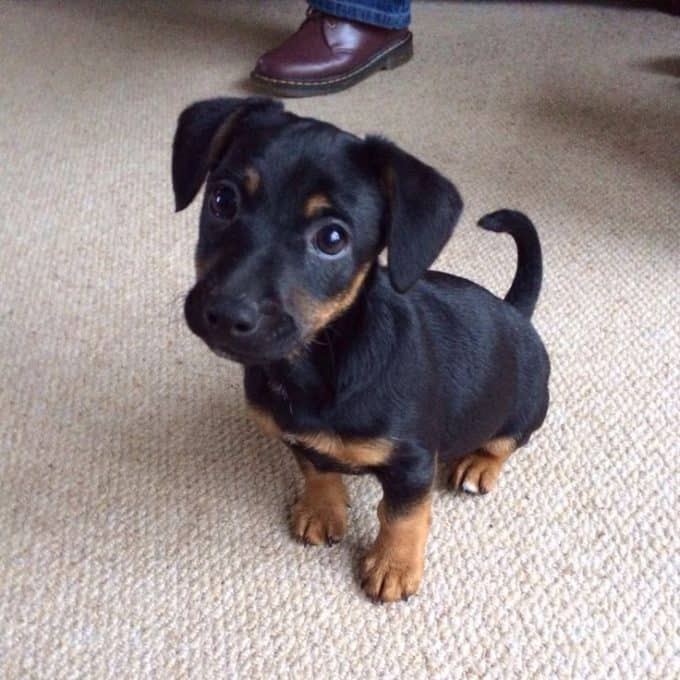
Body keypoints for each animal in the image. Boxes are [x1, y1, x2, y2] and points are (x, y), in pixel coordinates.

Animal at [173, 98, 548, 604]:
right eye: (222, 200)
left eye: (332, 238)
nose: (227, 314)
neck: (318, 364)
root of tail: (515, 311)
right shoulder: (298, 438)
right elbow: (316, 470)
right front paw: (322, 510)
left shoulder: (412, 462)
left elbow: (403, 515)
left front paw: (393, 566)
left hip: (527, 407)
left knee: (507, 440)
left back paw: (478, 464)